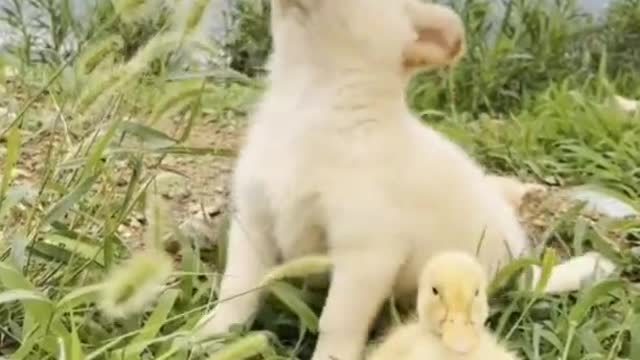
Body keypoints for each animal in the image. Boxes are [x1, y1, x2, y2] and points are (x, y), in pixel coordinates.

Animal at [195, 1, 616, 358]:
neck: (306, 100)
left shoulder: (366, 256)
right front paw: (209, 336)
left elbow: (336, 321)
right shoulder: (254, 226)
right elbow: (235, 293)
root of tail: (527, 268)